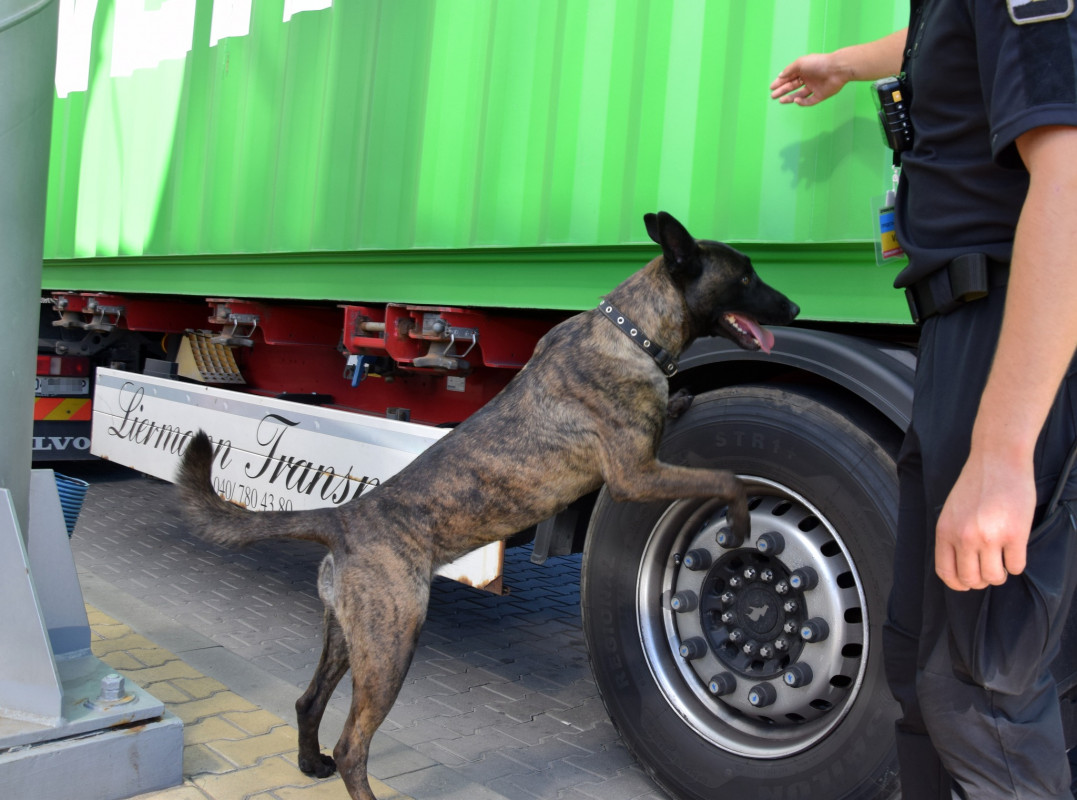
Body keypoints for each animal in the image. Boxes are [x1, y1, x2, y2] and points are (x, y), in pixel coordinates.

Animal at [176, 209, 801, 796]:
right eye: (747, 275)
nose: (795, 308)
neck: (632, 331)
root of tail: (344, 519)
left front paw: (680, 400)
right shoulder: (636, 474)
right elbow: (725, 479)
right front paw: (739, 518)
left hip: (347, 636)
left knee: (308, 702)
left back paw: (309, 763)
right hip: (391, 642)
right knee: (353, 745)